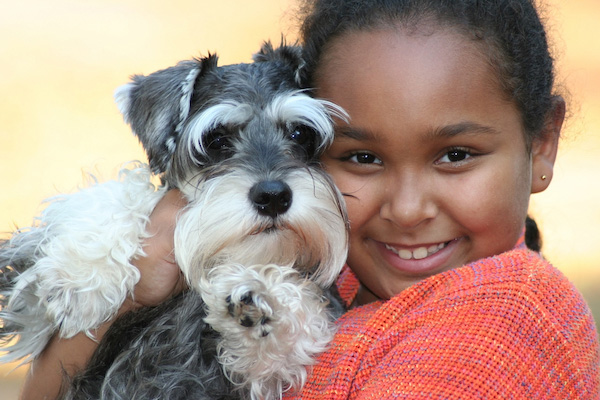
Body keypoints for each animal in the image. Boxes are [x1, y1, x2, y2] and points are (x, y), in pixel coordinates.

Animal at [0, 43, 350, 400]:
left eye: (299, 133)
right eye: (216, 140)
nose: (273, 196)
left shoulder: (263, 379)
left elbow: (285, 345)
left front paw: (263, 297)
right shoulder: (32, 317)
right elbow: (127, 192)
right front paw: (82, 281)